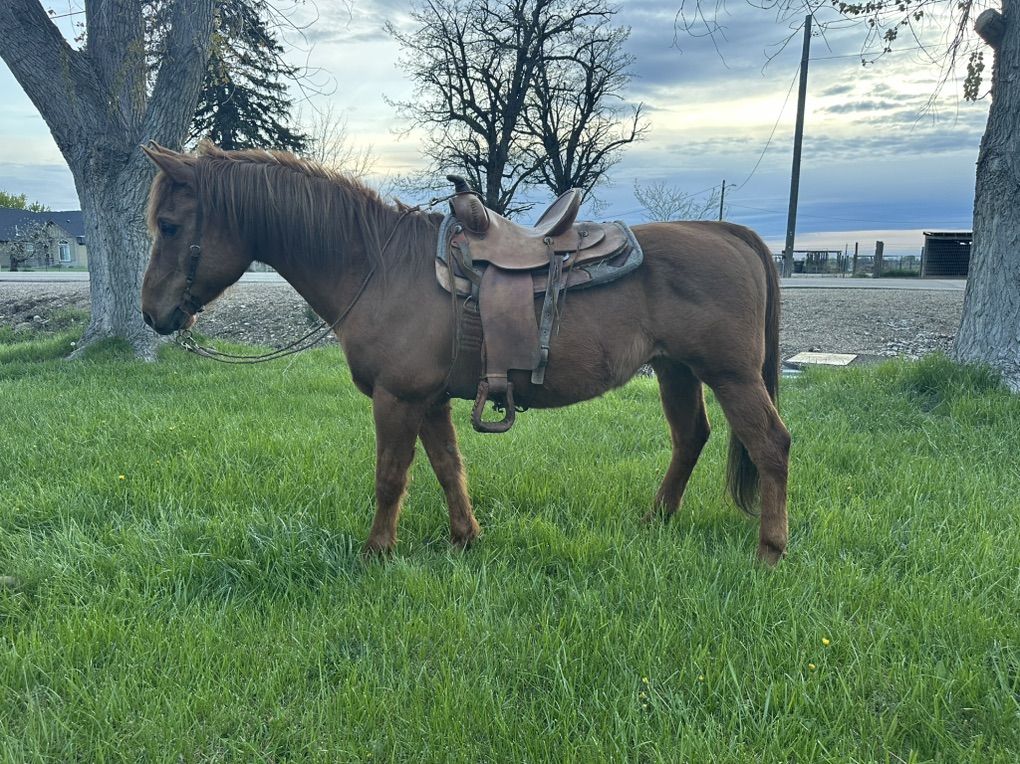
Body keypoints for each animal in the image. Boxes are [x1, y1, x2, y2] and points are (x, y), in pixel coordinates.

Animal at [139, 142, 790, 564]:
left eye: (169, 225)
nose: (152, 313)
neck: (380, 267)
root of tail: (728, 233)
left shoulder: (397, 398)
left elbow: (391, 476)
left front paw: (376, 553)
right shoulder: (428, 400)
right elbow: (448, 467)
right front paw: (464, 539)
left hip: (731, 375)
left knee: (771, 446)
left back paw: (770, 551)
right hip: (677, 371)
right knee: (690, 439)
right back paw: (656, 521)